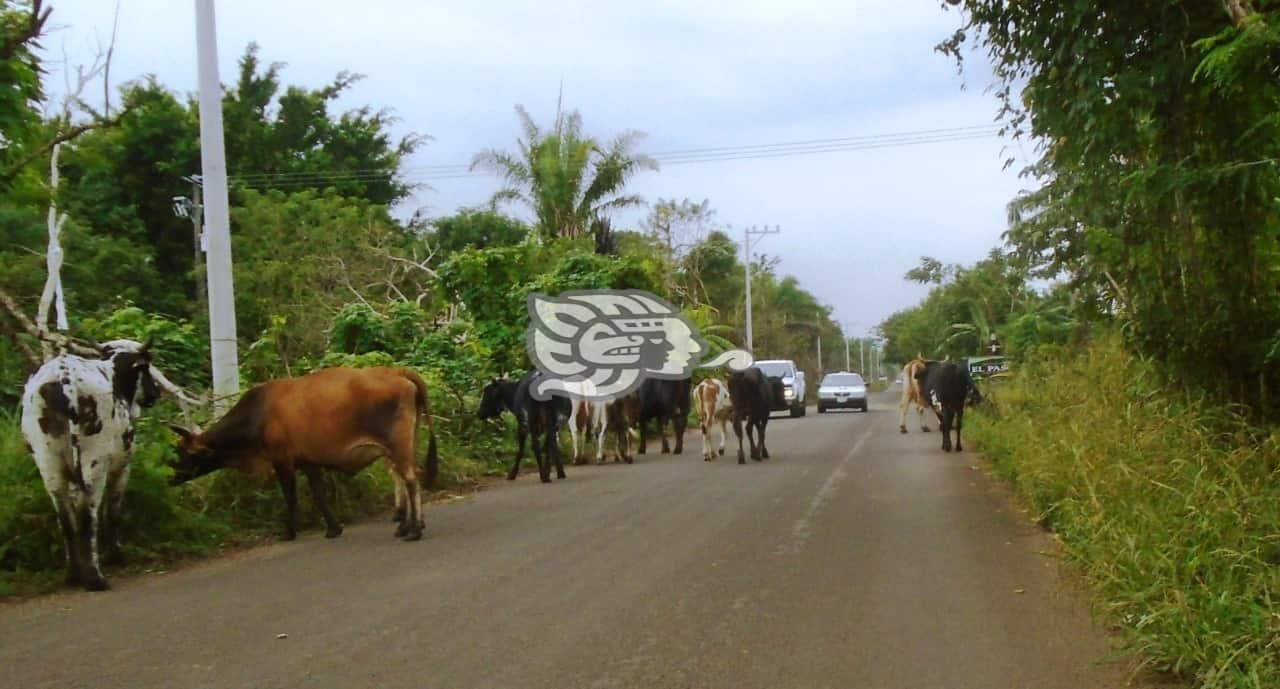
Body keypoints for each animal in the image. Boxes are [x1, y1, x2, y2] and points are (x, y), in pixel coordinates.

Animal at [20, 338, 165, 589]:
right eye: (146, 367)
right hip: (94, 463)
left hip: (48, 463)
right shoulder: (121, 467)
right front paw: (116, 555)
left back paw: (73, 575)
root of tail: (63, 375)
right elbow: (112, 512)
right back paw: (95, 578)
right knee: (88, 517)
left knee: (66, 518)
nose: (155, 392)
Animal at [170, 363, 440, 540]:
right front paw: (333, 528)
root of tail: (397, 372)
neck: (257, 415)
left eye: (185, 453)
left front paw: (289, 532)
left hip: (397, 445)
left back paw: (414, 530)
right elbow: (319, 495)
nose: (171, 476)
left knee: (411, 480)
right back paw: (407, 526)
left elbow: (291, 498)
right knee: (404, 478)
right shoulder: (309, 462)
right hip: (404, 444)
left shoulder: (282, 462)